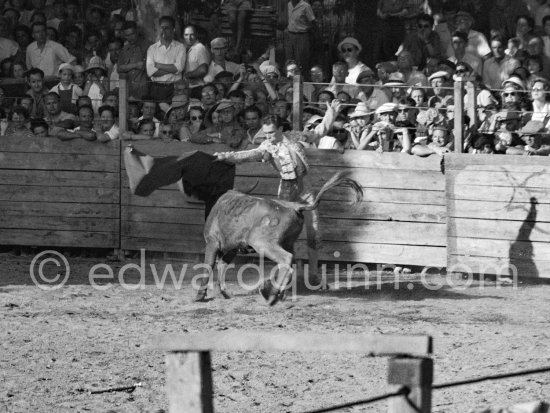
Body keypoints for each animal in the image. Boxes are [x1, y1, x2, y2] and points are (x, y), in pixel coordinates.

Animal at [196, 171, 364, 306]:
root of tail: (295, 206)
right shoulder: (232, 249)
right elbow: (221, 266)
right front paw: (224, 293)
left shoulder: (212, 243)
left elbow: (208, 265)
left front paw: (200, 296)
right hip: (286, 243)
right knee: (290, 262)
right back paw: (277, 293)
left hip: (263, 243)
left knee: (286, 259)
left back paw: (271, 295)